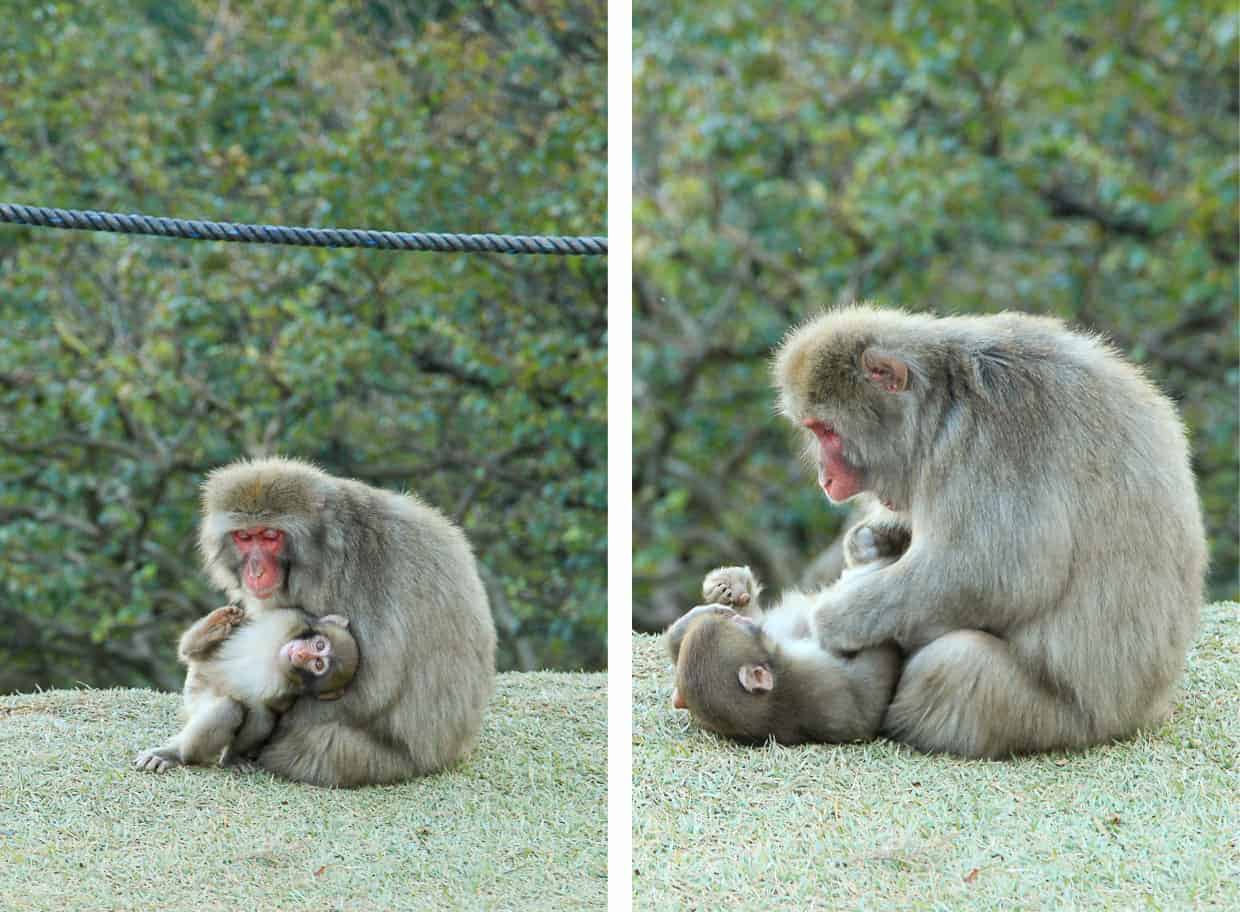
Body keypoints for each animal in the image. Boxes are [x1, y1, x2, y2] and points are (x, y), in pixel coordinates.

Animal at [134, 605, 359, 779]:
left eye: (318, 664)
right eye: (319, 645)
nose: (302, 654)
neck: (276, 659)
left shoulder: (288, 694)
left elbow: (266, 711)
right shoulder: (284, 617)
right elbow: (188, 650)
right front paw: (222, 621)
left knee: (245, 711)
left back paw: (187, 756)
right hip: (195, 695)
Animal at [198, 459, 493, 789]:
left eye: (270, 536)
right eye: (245, 537)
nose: (256, 571)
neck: (324, 549)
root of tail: (453, 752)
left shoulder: (351, 581)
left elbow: (371, 686)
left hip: (376, 761)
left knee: (318, 743)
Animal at [669, 523, 902, 744]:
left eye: (736, 621)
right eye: (741, 626)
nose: (742, 619)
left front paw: (722, 594)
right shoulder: (815, 682)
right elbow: (865, 699)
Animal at [768, 310, 1205, 759]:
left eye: (827, 432)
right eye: (814, 431)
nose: (825, 478)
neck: (941, 406)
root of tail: (1146, 711)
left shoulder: (996, 438)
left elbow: (999, 574)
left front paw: (833, 618)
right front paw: (873, 538)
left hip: (1063, 721)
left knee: (956, 663)